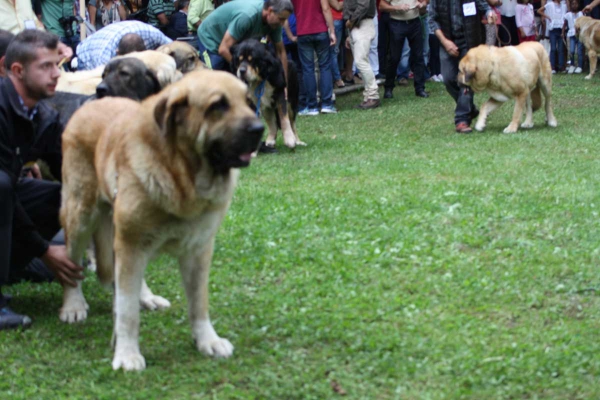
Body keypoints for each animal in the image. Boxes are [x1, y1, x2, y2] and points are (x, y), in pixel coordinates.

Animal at [59, 69, 264, 372]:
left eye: (249, 102)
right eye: (218, 106)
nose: (259, 129)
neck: (182, 176)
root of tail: (88, 105)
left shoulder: (198, 250)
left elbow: (198, 303)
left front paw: (207, 340)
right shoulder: (132, 243)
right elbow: (127, 311)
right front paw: (127, 354)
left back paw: (145, 297)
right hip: (80, 216)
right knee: (73, 264)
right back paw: (73, 305)